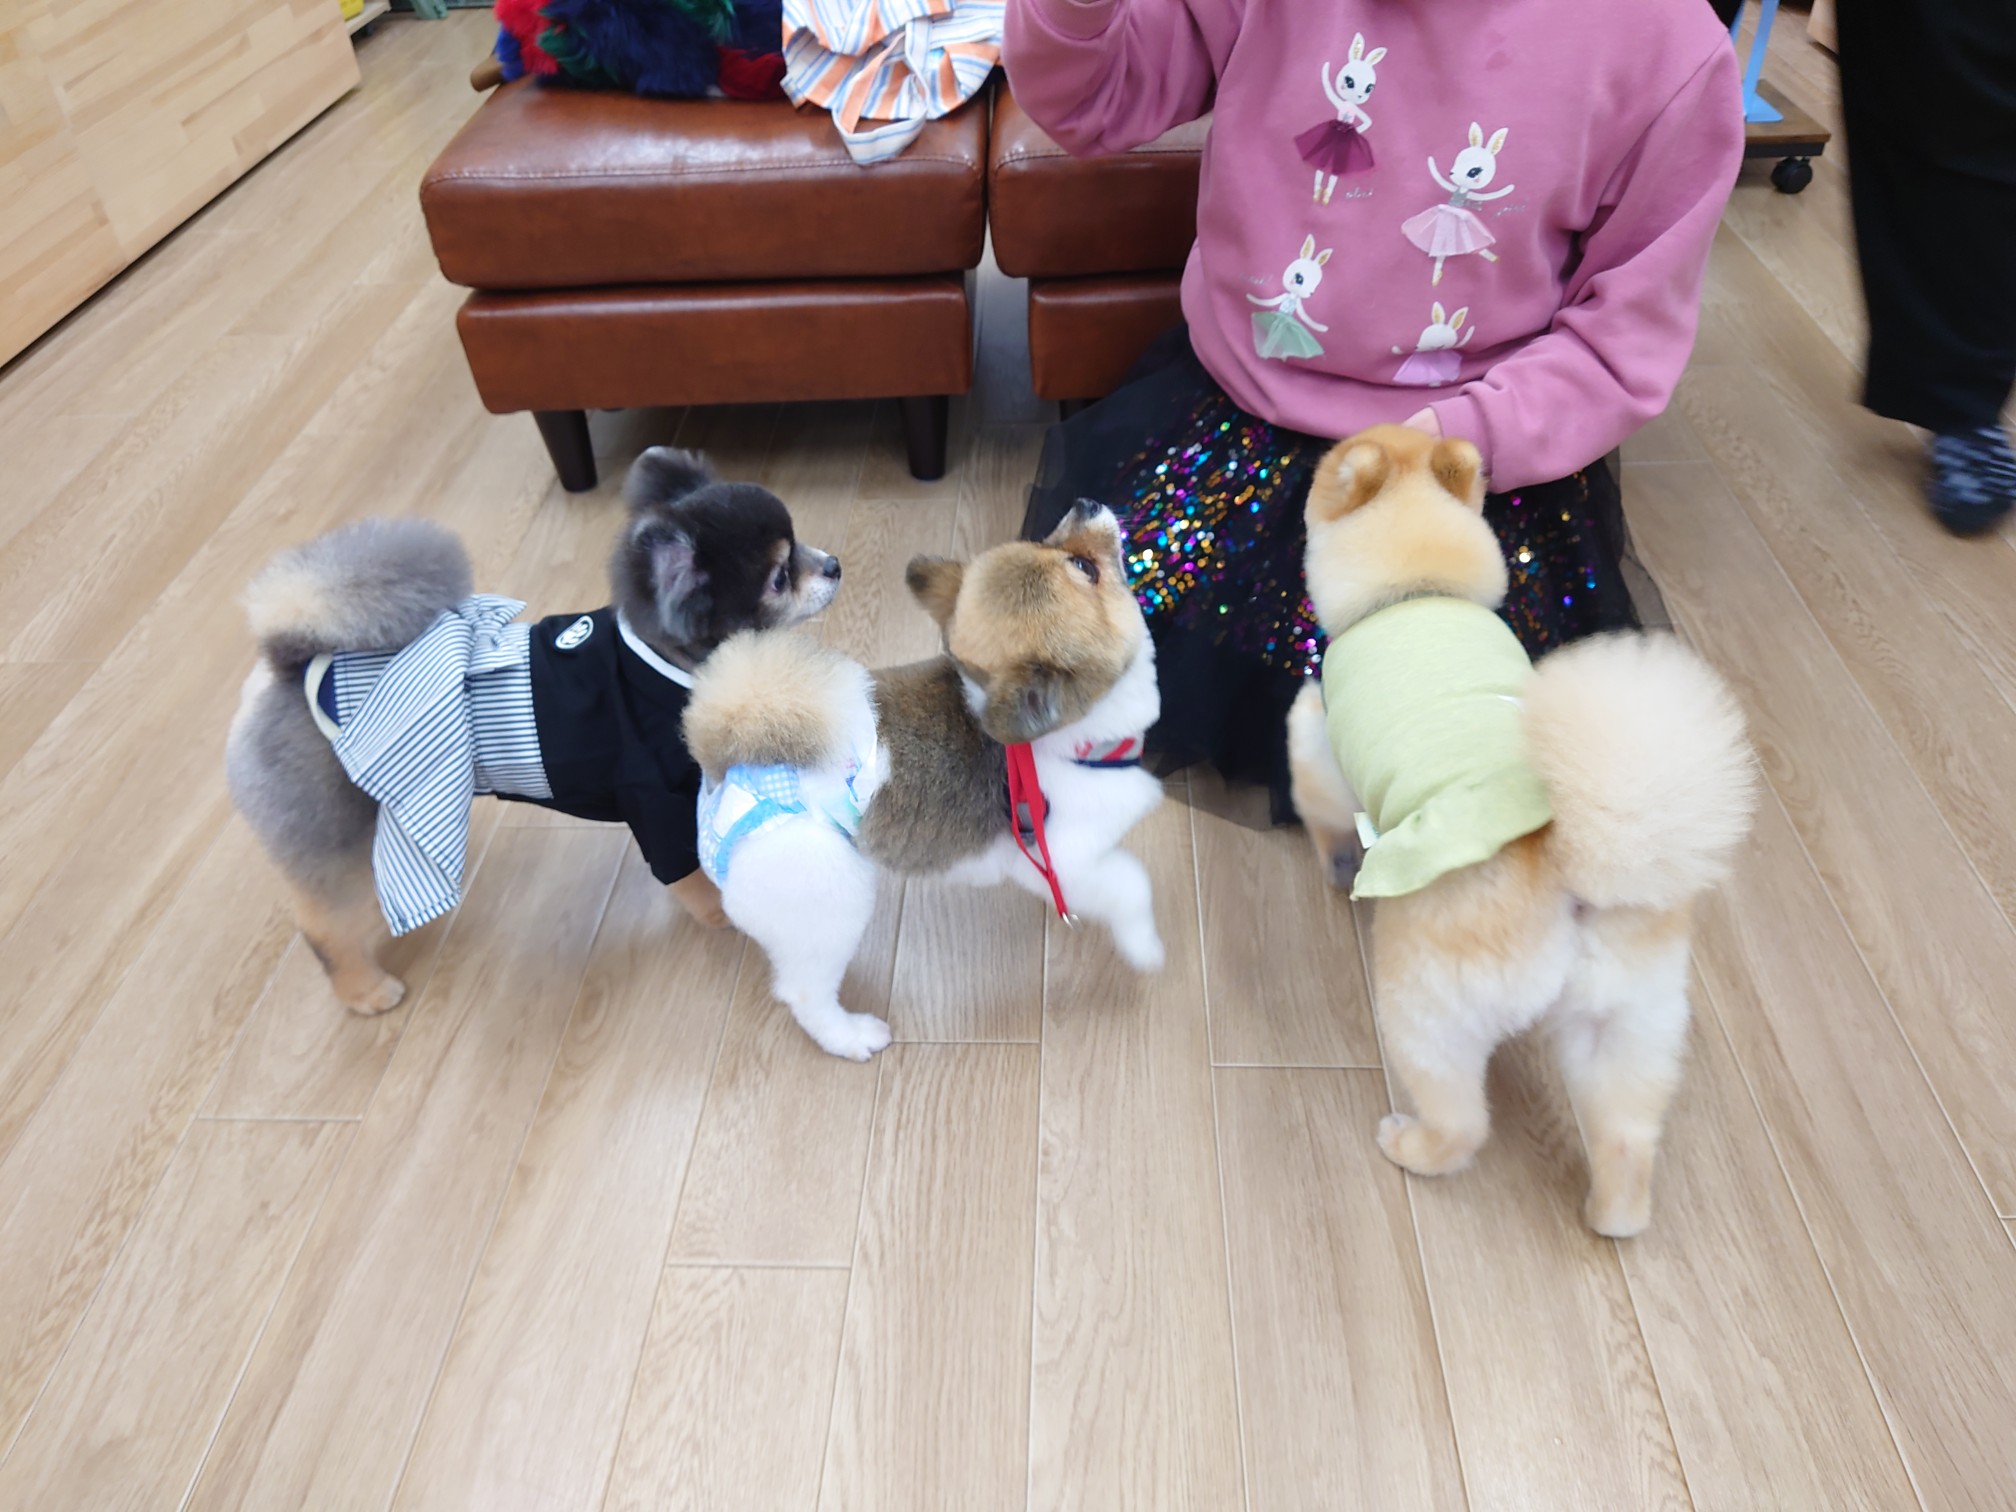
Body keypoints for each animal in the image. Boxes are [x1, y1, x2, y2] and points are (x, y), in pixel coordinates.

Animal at [226, 447, 839, 1015]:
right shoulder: (652, 798)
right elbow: (684, 870)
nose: (833, 563)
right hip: (335, 829)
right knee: (324, 923)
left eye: (800, 543)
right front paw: (718, 909)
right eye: (780, 577)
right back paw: (365, 991)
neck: (666, 664)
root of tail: (289, 665)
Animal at [681, 501, 1165, 1059]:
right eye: (1083, 567)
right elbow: (1132, 884)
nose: (1085, 504)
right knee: (803, 992)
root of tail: (723, 775)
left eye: (1045, 540)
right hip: (831, 896)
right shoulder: (1056, 861)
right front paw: (1145, 946)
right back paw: (851, 1036)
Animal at [1286, 425, 1756, 1236]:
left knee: (1461, 1124)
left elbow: (1316, 789)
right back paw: (1613, 1214)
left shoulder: (1320, 734)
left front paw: (1336, 864)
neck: (1419, 590)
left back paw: (1410, 1145)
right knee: (1627, 1138)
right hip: (1630, 1024)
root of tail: (1575, 875)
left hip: (1425, 1007)